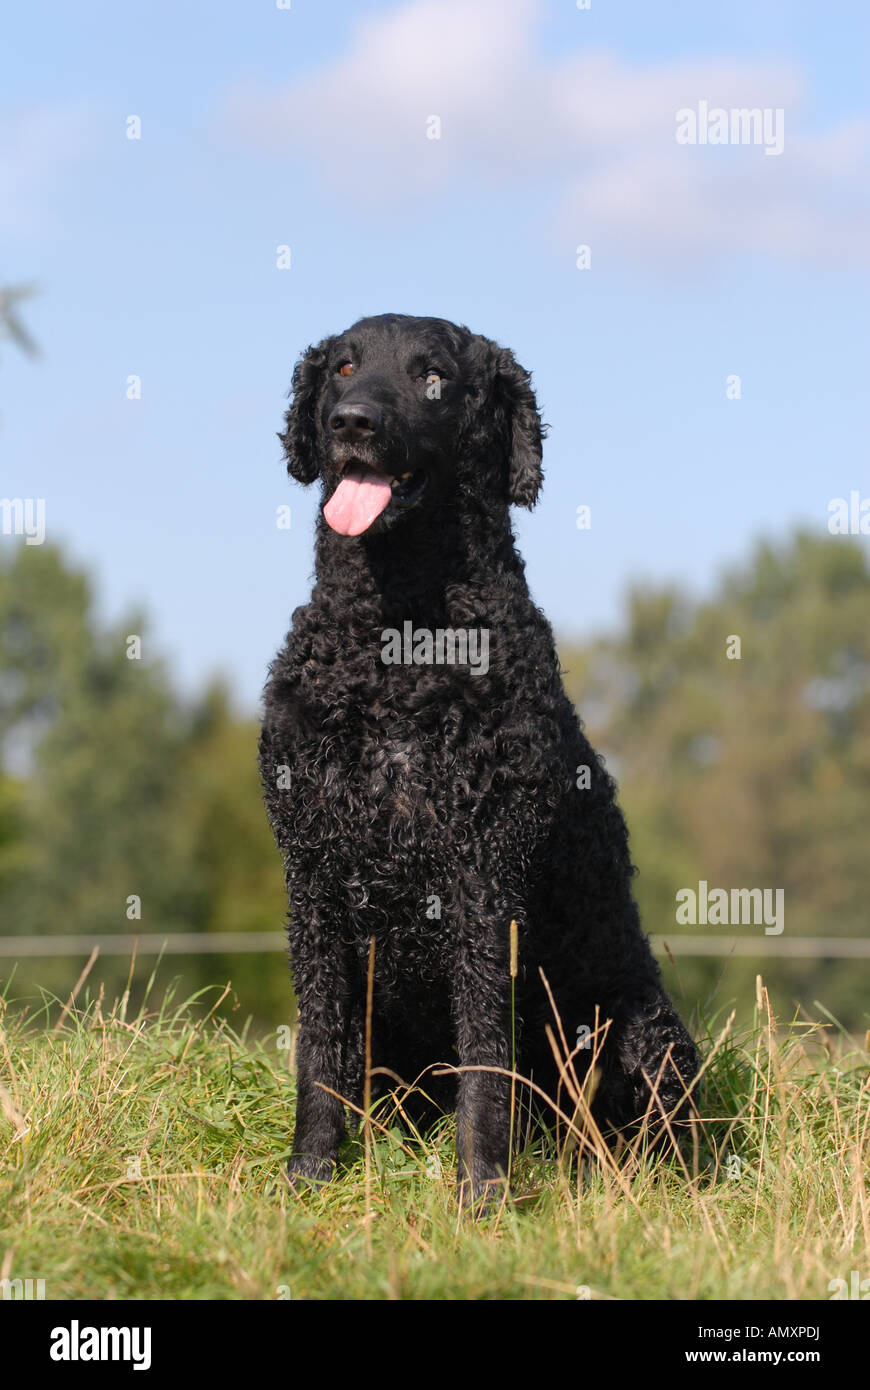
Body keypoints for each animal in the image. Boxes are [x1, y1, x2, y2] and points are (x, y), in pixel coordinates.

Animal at [258, 315, 697, 1206]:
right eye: (343, 368)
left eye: (433, 379)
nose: (351, 421)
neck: (397, 646)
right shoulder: (311, 872)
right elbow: (317, 1049)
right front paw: (309, 1175)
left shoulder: (483, 875)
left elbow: (487, 1059)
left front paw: (484, 1190)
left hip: (649, 1036)